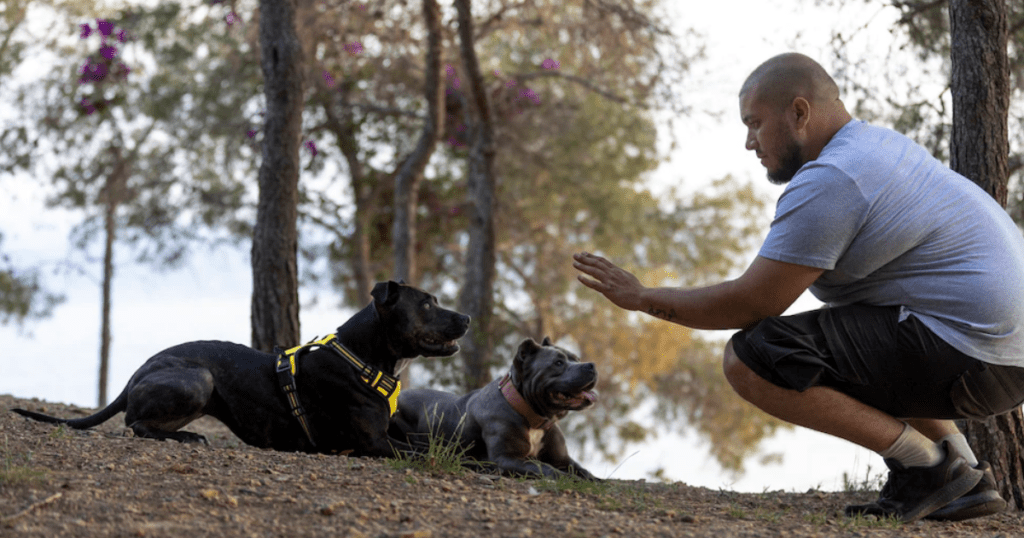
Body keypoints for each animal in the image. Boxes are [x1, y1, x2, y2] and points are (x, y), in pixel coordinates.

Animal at [14, 280, 468, 457]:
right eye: (427, 304)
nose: (466, 317)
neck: (363, 358)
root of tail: (135, 375)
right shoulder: (375, 443)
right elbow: (438, 453)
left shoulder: (392, 434)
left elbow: (437, 444)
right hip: (198, 377)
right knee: (134, 423)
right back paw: (186, 438)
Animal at [391, 336, 598, 477]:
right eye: (558, 363)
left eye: (577, 359)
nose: (592, 365)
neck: (532, 417)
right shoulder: (507, 459)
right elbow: (545, 468)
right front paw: (569, 479)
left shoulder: (563, 460)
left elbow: (584, 472)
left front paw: (595, 480)